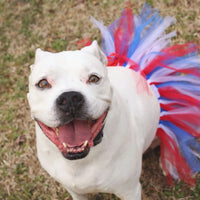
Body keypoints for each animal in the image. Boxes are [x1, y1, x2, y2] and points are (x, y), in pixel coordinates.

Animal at [27, 41, 159, 200]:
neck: (80, 162)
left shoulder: (130, 191)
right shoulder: (74, 191)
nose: (70, 99)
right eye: (43, 83)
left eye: (94, 79)